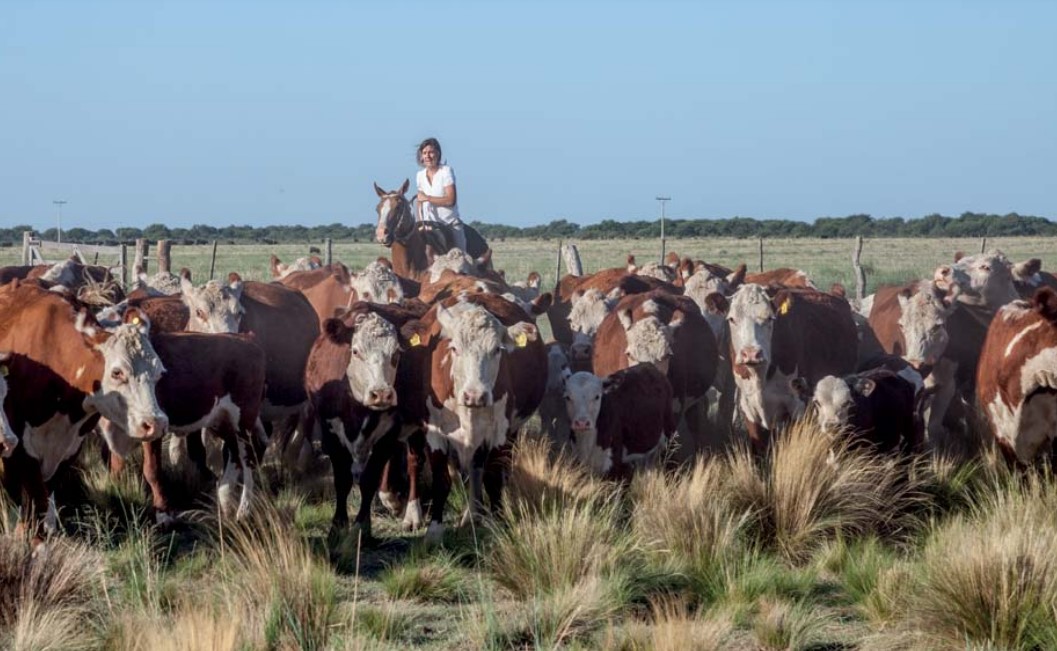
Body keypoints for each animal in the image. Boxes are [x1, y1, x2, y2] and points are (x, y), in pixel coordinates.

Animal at [0, 283, 167, 541]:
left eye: (159, 373)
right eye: (117, 372)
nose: (155, 423)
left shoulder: (69, 449)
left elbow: (44, 497)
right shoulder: (20, 448)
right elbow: (34, 500)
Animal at [727, 285, 858, 452]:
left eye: (770, 318)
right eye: (732, 319)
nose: (751, 353)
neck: (761, 377)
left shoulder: (798, 405)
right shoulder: (748, 406)